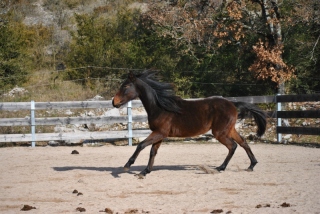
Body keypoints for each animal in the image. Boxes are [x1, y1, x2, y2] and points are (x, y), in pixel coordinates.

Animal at [111, 70, 266, 179]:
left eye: (126, 86)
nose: (114, 102)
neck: (161, 107)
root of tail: (233, 104)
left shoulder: (160, 132)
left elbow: (141, 145)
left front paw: (127, 166)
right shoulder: (160, 135)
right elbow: (152, 152)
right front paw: (145, 171)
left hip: (220, 132)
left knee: (232, 146)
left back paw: (220, 168)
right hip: (229, 130)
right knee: (243, 142)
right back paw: (251, 165)